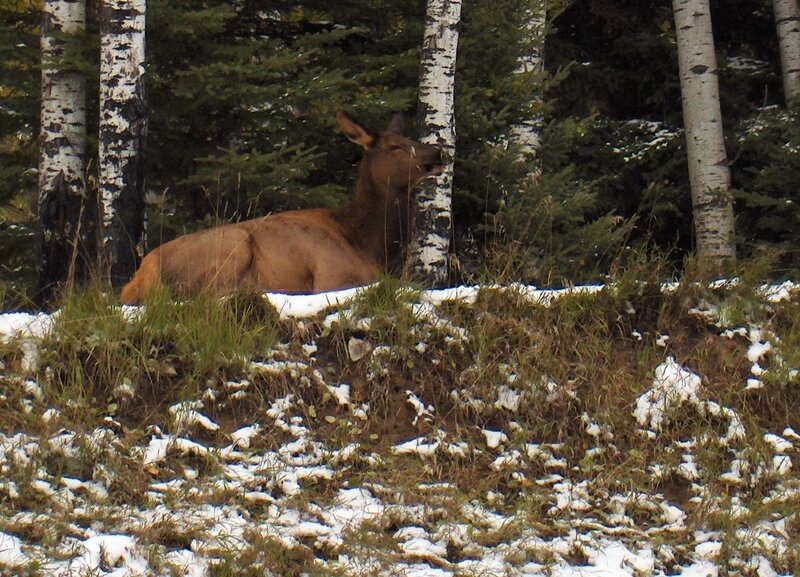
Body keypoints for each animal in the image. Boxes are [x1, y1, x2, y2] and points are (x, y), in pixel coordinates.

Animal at [119, 111, 444, 304]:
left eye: (409, 138)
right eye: (394, 147)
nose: (438, 152)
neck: (368, 243)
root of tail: (140, 274)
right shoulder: (330, 276)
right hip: (232, 245)